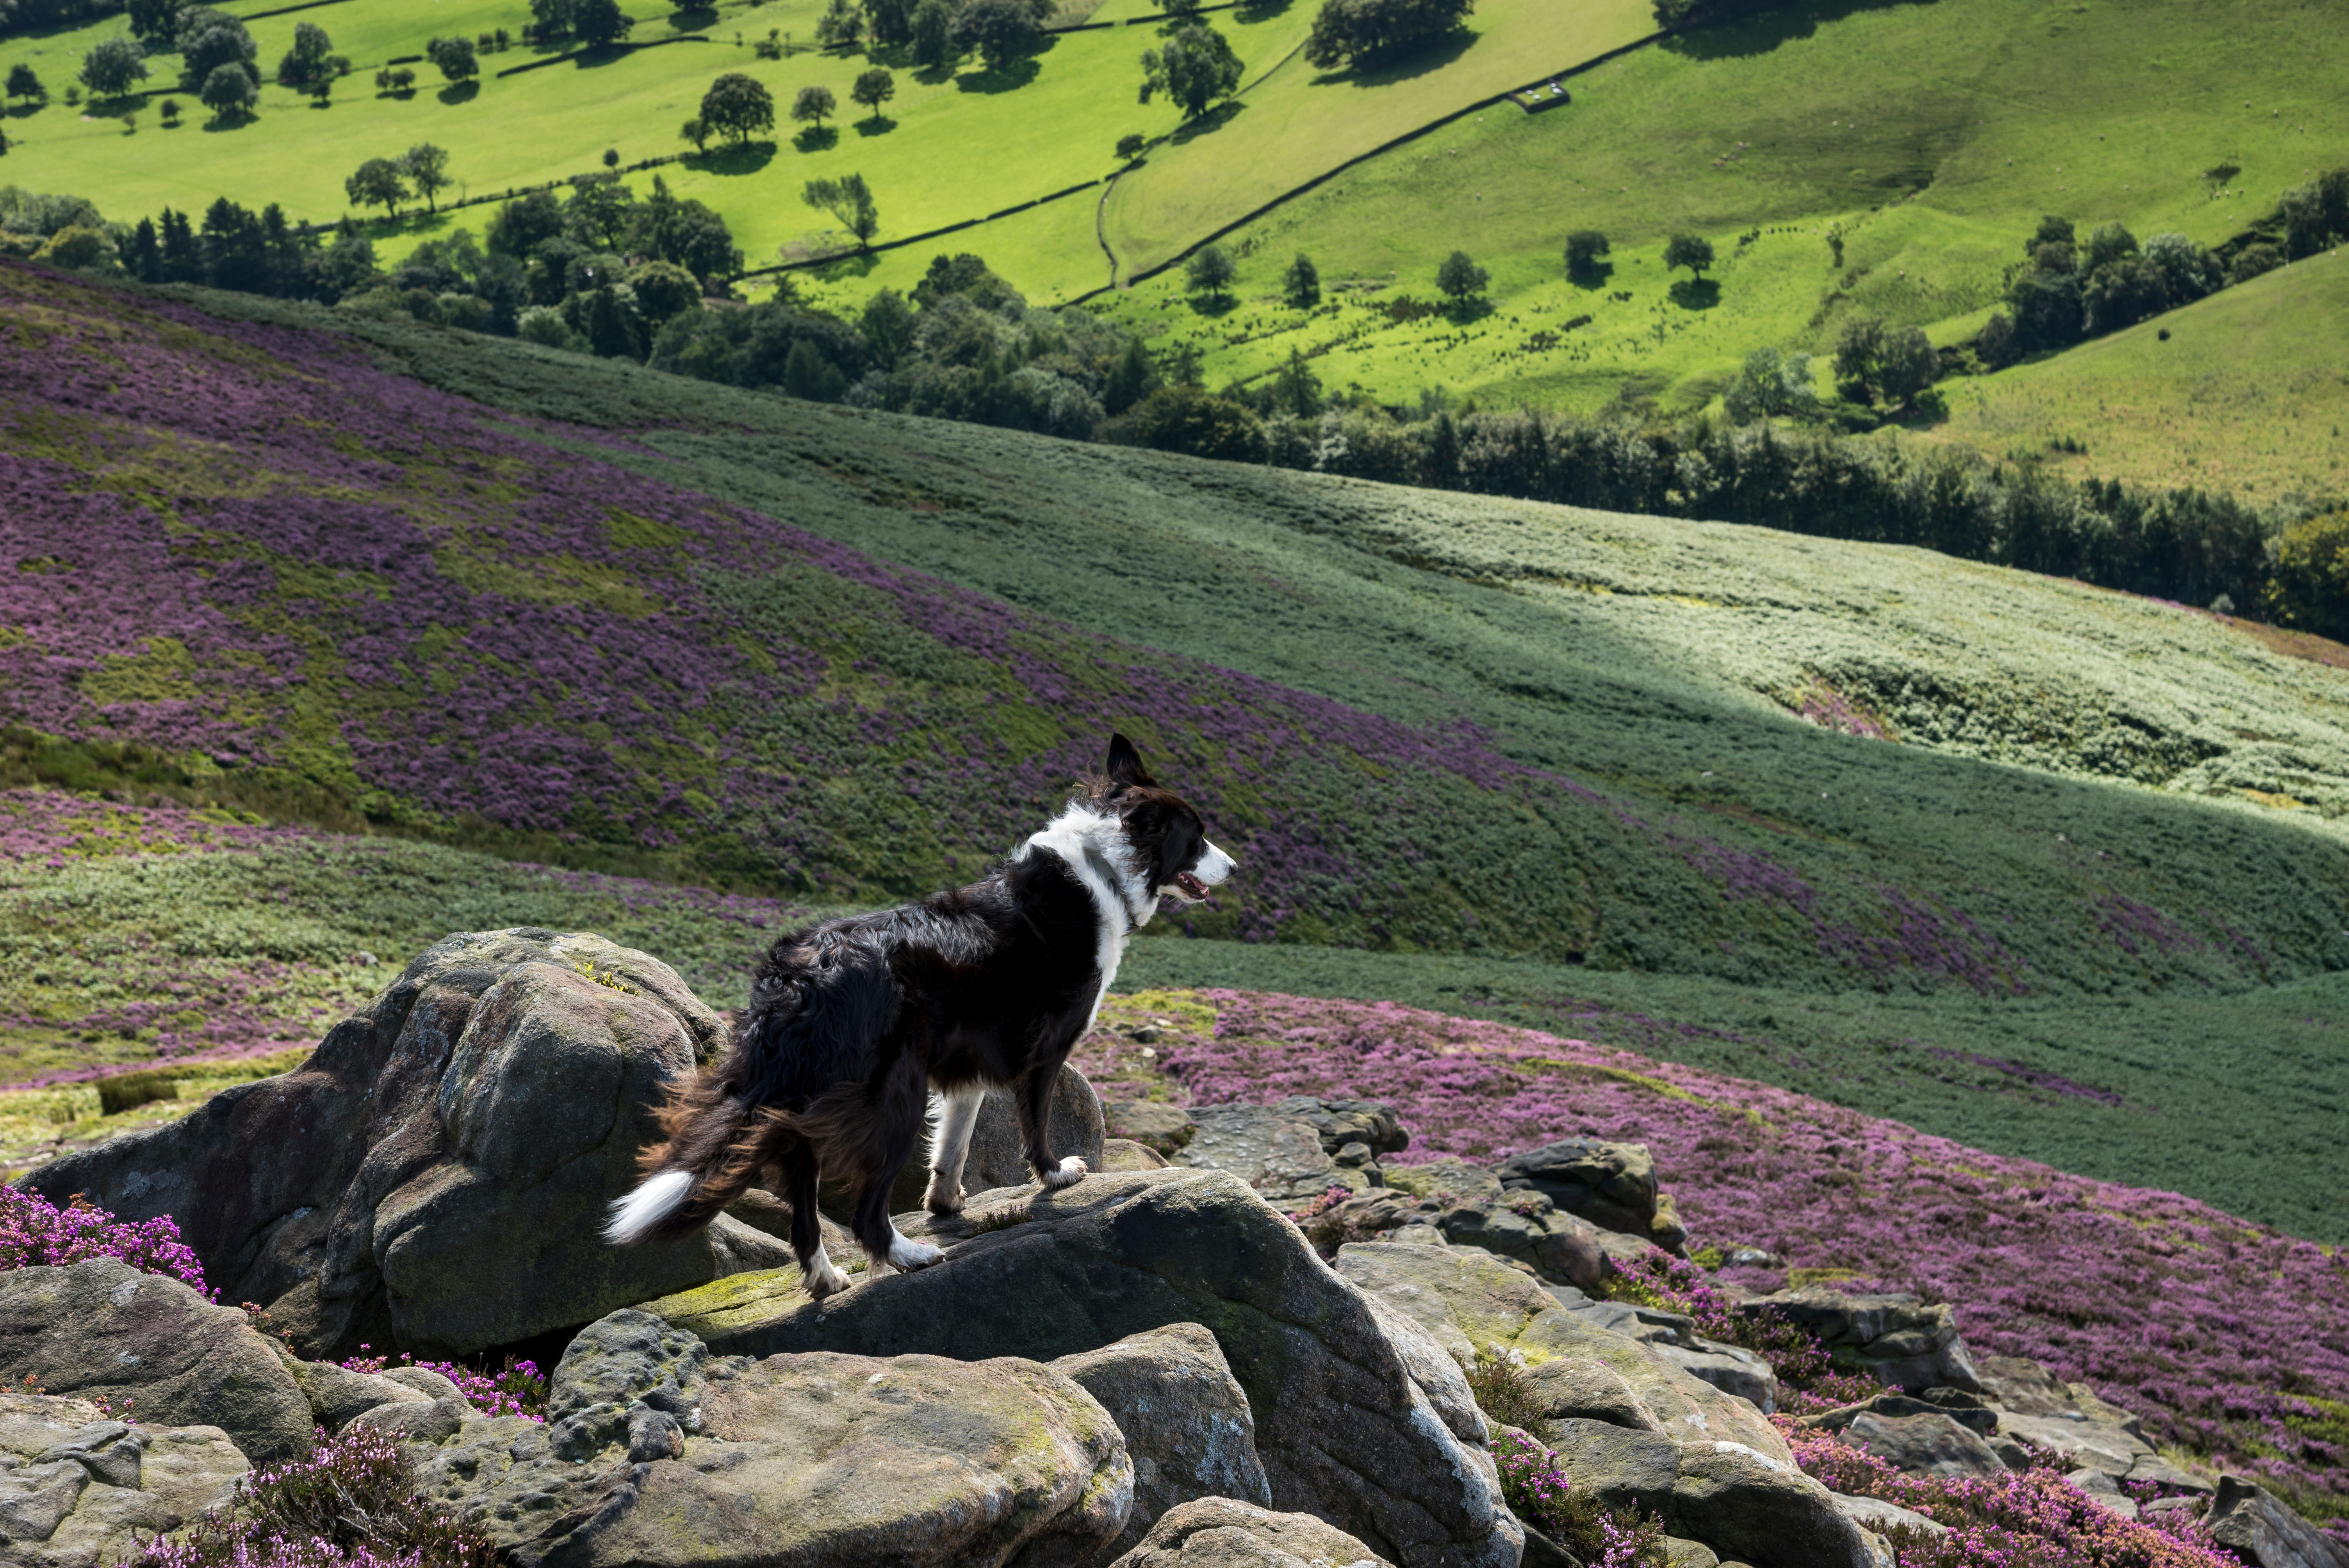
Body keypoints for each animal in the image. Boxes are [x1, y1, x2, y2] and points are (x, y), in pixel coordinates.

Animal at [601, 737, 1231, 1295]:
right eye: (1197, 837)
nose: (1235, 865)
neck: (1106, 865)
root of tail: (800, 976)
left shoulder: (969, 1062)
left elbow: (955, 1141)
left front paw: (946, 1201)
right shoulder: (1045, 1051)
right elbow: (1035, 1124)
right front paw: (1056, 1174)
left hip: (811, 1093)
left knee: (801, 1184)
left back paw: (825, 1277)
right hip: (892, 1091)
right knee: (863, 1209)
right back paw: (907, 1256)